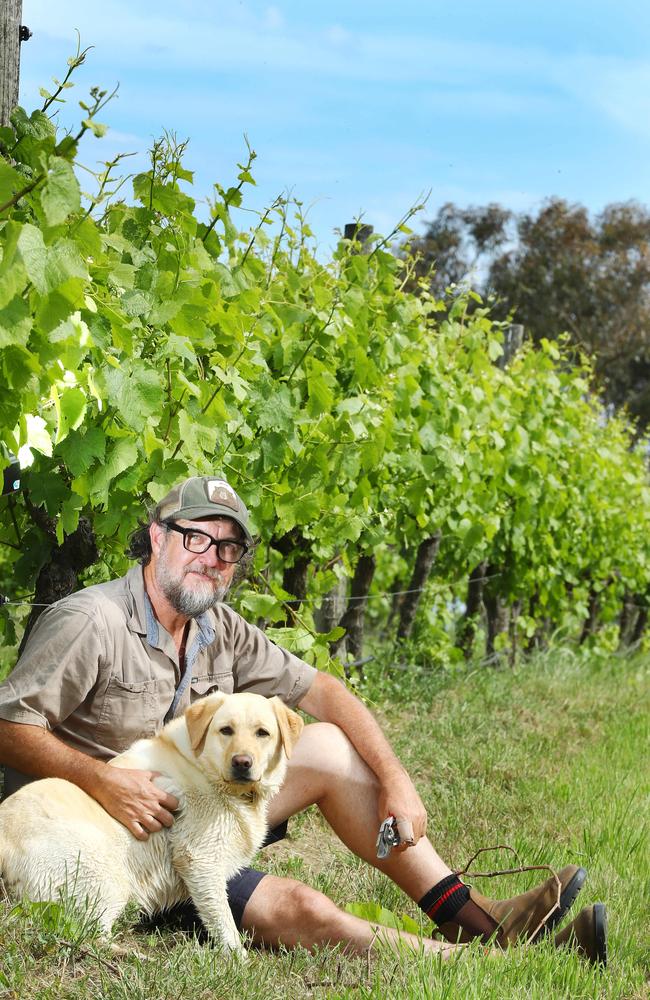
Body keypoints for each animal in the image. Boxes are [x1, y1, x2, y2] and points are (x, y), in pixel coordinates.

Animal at [0, 692, 302, 956]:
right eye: (225, 730)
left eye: (263, 733)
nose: (242, 762)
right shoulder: (199, 859)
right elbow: (222, 918)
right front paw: (237, 959)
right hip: (107, 878)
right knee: (86, 934)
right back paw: (138, 957)